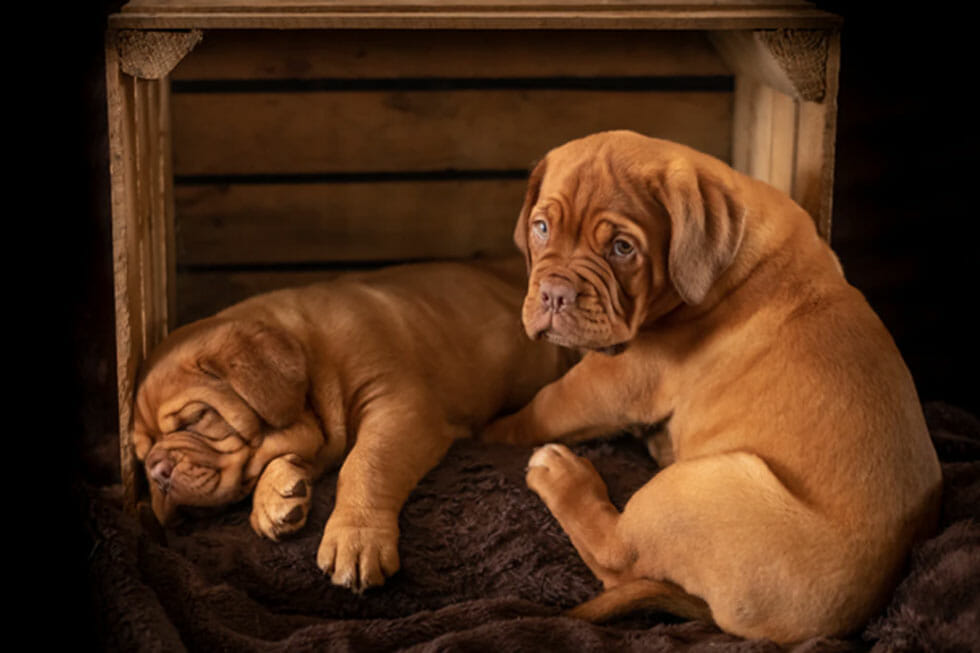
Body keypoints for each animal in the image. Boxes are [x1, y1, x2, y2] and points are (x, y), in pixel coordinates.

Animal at [134, 258, 572, 592]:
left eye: (196, 419)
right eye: (141, 453)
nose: (155, 471)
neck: (311, 354)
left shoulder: (397, 405)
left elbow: (367, 464)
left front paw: (356, 536)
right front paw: (276, 496)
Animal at [482, 129, 940, 640]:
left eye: (622, 248)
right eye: (541, 228)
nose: (553, 295)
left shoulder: (619, 376)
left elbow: (547, 404)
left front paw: (491, 431)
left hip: (697, 490)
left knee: (620, 558)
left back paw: (561, 474)